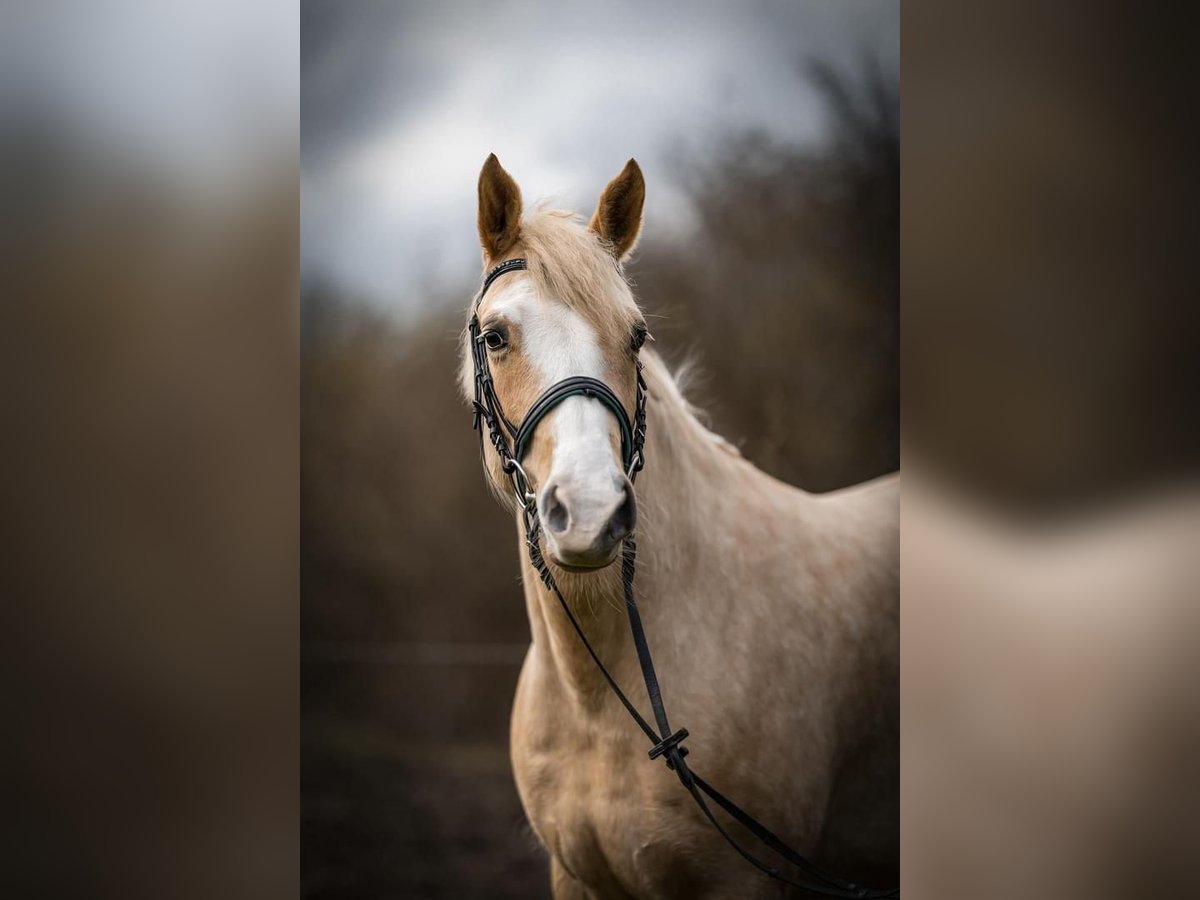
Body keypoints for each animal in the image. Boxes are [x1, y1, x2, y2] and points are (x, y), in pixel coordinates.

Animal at [458, 151, 902, 897]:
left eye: (636, 335)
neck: (599, 701)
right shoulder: (575, 878)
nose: (591, 512)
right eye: (496, 336)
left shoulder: (743, 881)